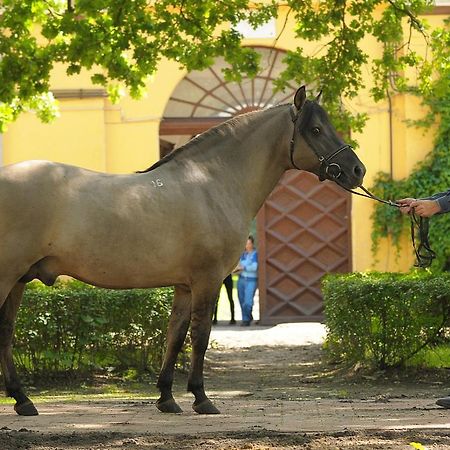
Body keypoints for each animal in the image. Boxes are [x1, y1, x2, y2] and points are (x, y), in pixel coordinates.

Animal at [0, 84, 366, 414]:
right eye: (316, 129)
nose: (357, 170)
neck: (211, 183)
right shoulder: (208, 280)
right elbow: (200, 335)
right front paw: (201, 398)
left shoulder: (184, 285)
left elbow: (174, 336)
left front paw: (166, 397)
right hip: (7, 277)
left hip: (18, 280)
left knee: (6, 330)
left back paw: (23, 400)